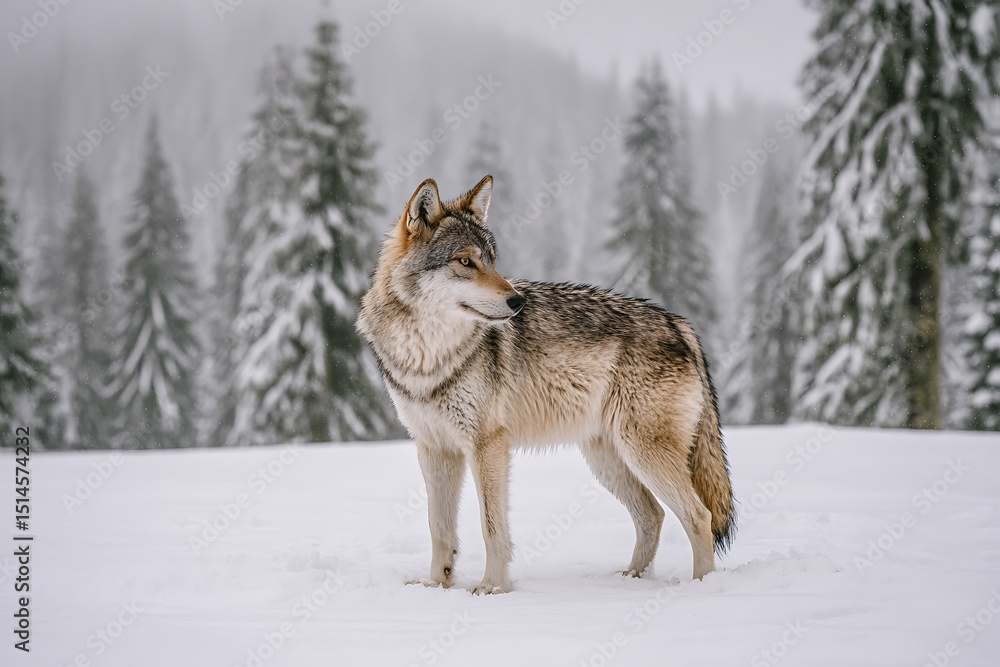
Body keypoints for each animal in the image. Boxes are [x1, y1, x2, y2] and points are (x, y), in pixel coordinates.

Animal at [357, 176, 735, 594]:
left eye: (492, 259)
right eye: (465, 261)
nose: (517, 301)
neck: (428, 354)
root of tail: (679, 324)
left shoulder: (487, 445)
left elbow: (492, 527)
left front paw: (492, 588)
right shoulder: (434, 449)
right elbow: (439, 530)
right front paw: (436, 587)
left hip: (641, 452)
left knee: (699, 516)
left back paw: (700, 587)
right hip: (606, 458)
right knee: (653, 514)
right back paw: (631, 578)